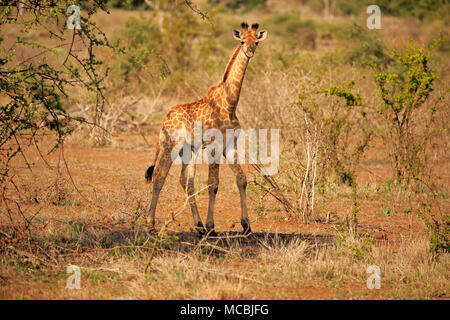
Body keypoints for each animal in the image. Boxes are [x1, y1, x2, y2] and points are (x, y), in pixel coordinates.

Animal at [144, 20, 268, 235]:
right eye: (242, 41)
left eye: (256, 42)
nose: (250, 52)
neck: (230, 104)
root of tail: (164, 119)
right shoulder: (214, 147)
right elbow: (213, 184)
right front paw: (211, 226)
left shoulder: (230, 145)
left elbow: (241, 179)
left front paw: (246, 225)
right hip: (170, 146)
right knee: (159, 176)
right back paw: (151, 224)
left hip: (188, 150)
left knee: (186, 181)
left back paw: (198, 225)